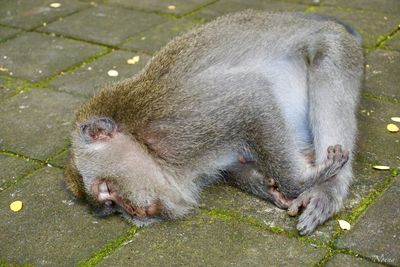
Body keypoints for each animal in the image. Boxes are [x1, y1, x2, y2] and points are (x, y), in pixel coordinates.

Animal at [64, 11, 364, 236]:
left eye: (107, 191)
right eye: (111, 207)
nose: (132, 212)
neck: (144, 142)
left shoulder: (180, 123)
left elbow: (250, 98)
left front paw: (300, 181)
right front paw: (265, 186)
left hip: (335, 44)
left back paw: (327, 190)